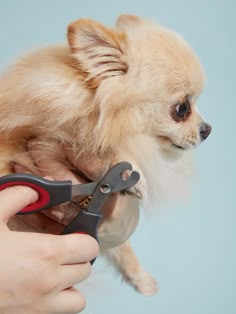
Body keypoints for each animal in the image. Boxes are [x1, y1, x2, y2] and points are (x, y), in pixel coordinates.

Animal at [0, 14, 210, 294]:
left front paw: (140, 277)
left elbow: (120, 245)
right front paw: (134, 174)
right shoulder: (45, 137)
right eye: (182, 109)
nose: (208, 129)